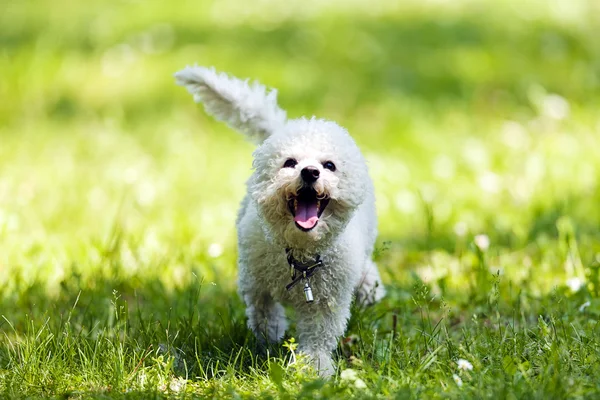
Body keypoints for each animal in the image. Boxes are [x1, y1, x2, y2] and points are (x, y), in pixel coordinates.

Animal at [176, 66, 386, 378]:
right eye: (289, 162)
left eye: (329, 166)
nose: (310, 172)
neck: (301, 257)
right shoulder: (256, 283)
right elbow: (264, 314)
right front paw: (270, 343)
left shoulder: (326, 301)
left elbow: (319, 335)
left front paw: (315, 368)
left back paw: (369, 284)